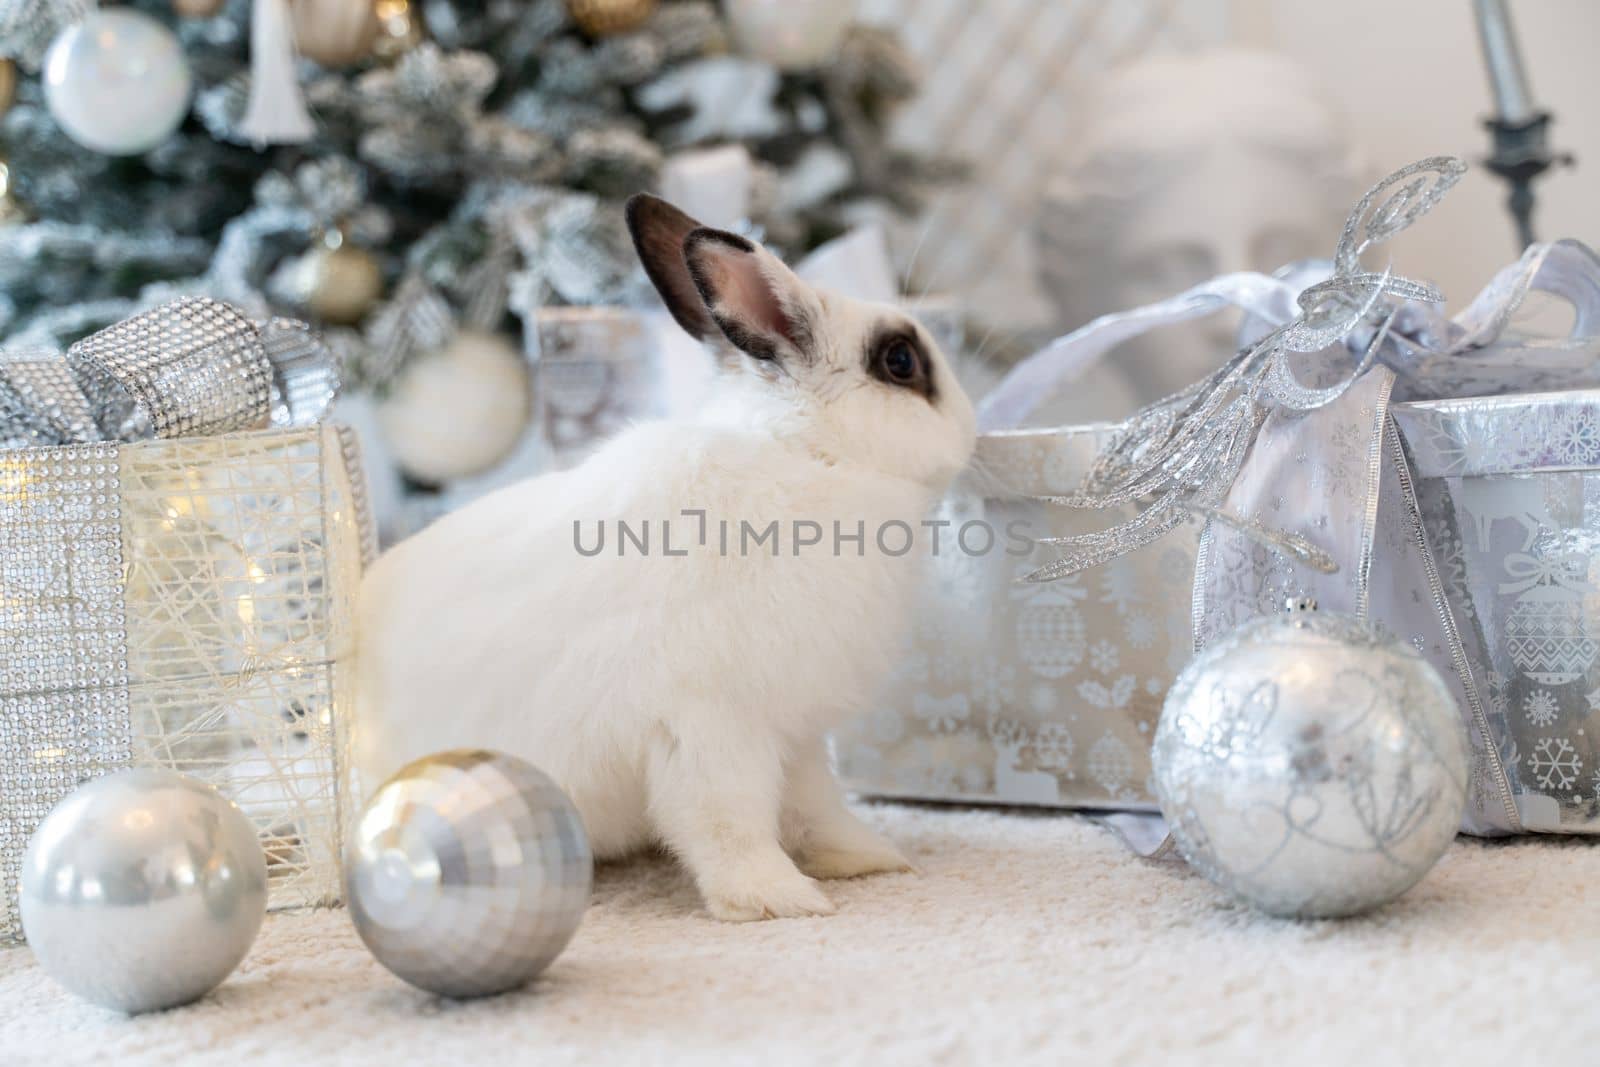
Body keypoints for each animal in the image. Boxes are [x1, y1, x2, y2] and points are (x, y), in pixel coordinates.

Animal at [360, 195, 972, 921]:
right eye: (901, 361)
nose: (972, 428)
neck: (809, 455)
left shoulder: (796, 732)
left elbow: (816, 808)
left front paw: (867, 858)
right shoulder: (710, 726)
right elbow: (727, 821)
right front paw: (777, 900)